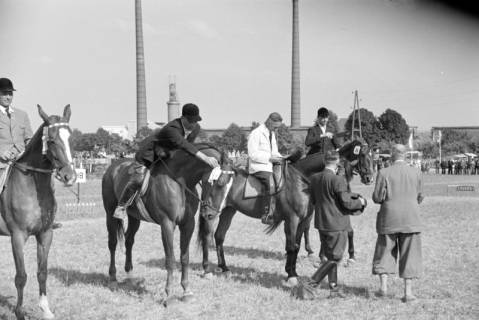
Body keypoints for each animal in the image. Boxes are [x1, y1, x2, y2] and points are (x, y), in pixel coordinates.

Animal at [0, 105, 76, 320]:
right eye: (51, 140)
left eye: (71, 138)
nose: (69, 176)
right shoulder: (17, 236)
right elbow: (21, 276)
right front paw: (19, 312)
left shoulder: (45, 234)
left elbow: (42, 272)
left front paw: (45, 309)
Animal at [101, 144, 231, 306]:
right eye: (219, 183)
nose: (211, 215)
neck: (181, 181)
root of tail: (113, 166)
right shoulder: (167, 224)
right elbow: (170, 260)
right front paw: (168, 295)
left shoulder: (188, 224)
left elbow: (184, 258)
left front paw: (186, 291)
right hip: (110, 214)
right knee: (112, 243)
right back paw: (113, 277)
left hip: (134, 218)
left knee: (129, 240)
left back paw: (130, 274)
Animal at [199, 139, 376, 284]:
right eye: (363, 155)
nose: (369, 178)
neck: (300, 182)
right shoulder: (292, 219)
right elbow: (291, 246)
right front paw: (291, 276)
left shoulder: (303, 220)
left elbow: (296, 245)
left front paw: (292, 271)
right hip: (213, 212)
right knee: (207, 236)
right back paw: (206, 269)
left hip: (228, 211)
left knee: (219, 236)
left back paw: (224, 268)